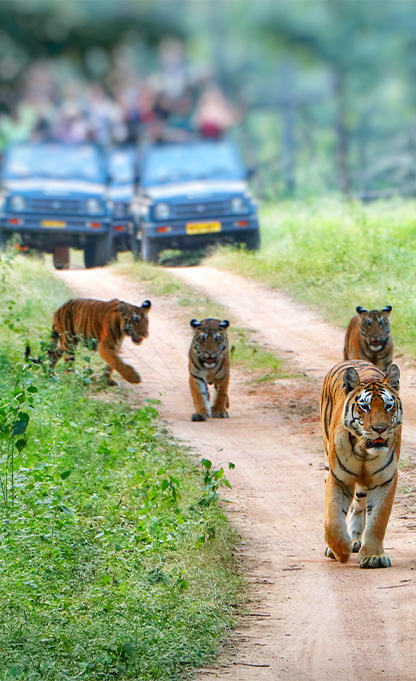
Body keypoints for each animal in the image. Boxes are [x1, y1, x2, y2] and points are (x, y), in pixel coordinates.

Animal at [320, 362, 402, 568]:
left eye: (388, 406)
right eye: (364, 406)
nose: (380, 429)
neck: (364, 450)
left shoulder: (385, 480)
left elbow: (378, 520)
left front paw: (373, 556)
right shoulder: (338, 478)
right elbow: (332, 519)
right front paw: (341, 551)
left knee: (359, 506)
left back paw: (356, 540)